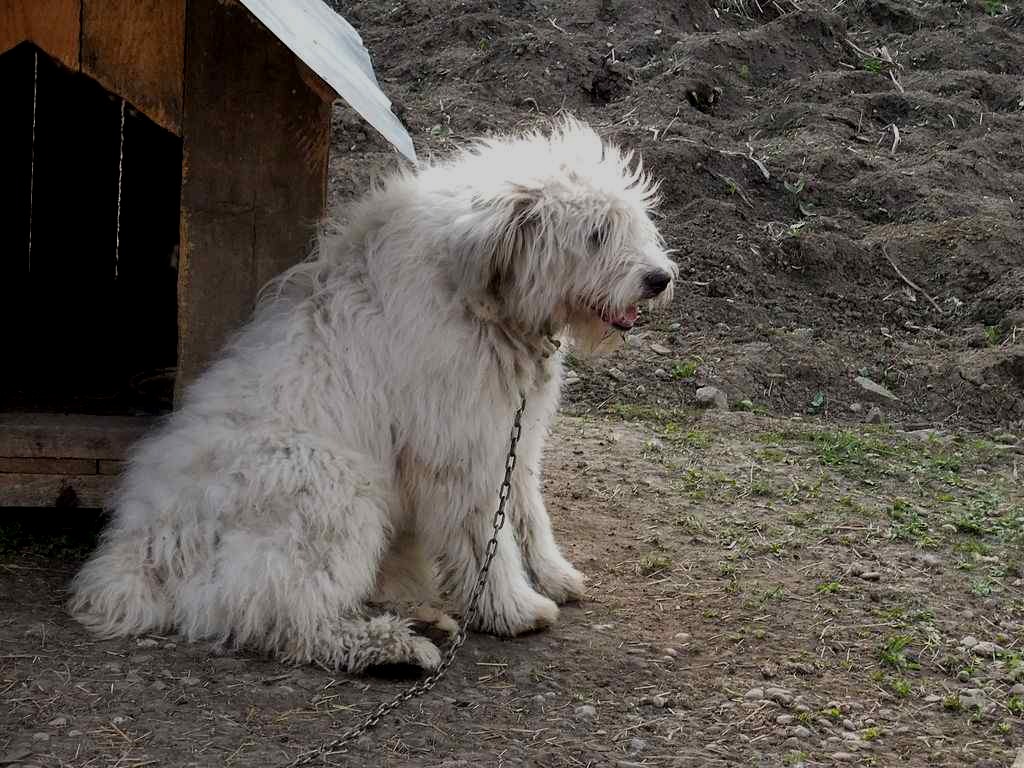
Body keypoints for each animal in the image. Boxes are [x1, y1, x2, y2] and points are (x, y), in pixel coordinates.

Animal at [72, 118, 679, 671]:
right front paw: (513, 608)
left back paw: (416, 615)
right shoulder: (460, 451)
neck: (480, 297)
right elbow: (486, 534)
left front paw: (554, 576)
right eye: (595, 234)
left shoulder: (512, 435)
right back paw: (391, 647)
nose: (660, 278)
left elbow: (529, 509)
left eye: (629, 224)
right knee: (287, 617)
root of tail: (141, 554)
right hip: (336, 491)